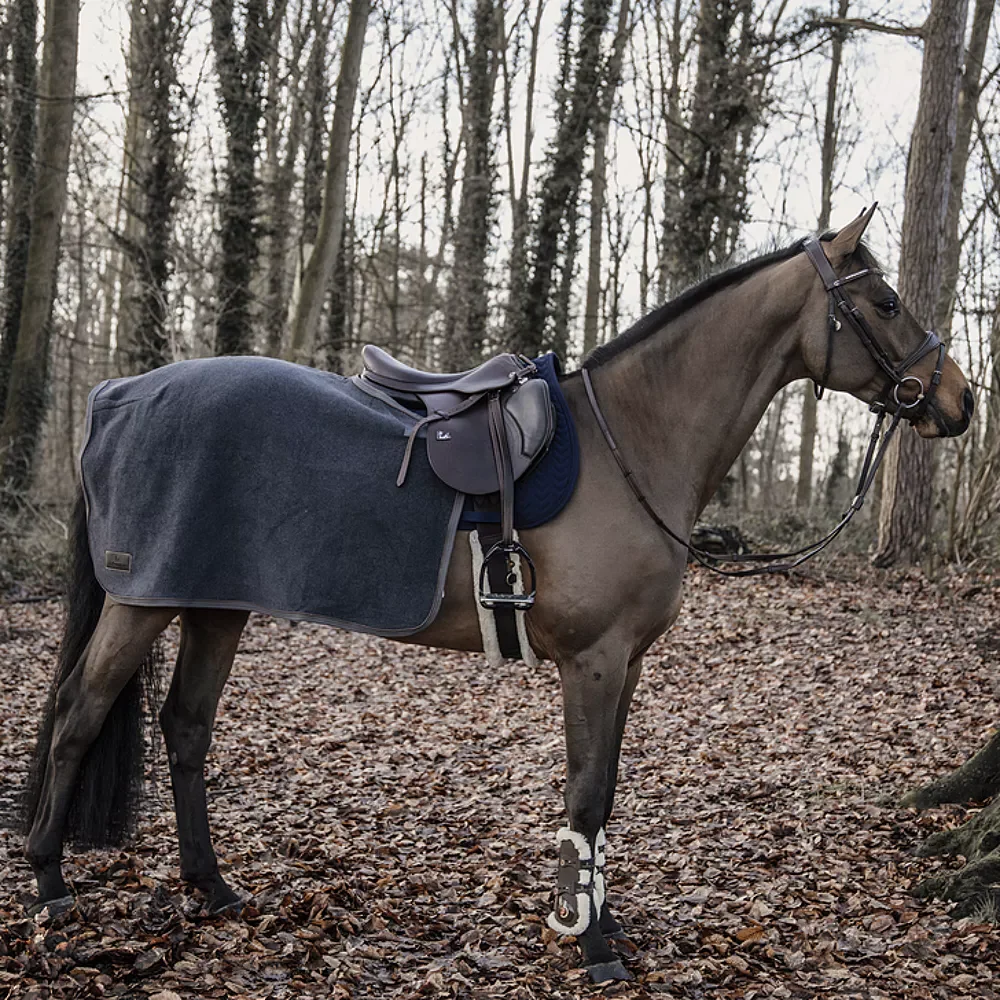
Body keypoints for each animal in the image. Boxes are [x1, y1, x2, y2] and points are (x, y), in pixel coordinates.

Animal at [20, 208, 973, 983]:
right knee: (75, 715)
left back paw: (212, 887)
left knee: (185, 727)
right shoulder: (593, 661)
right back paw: (50, 883)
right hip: (142, 601)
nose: (961, 401)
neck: (631, 440)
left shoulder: (626, 663)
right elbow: (587, 793)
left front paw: (592, 920)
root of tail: (118, 394)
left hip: (214, 602)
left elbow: (603, 792)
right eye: (887, 301)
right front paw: (593, 948)